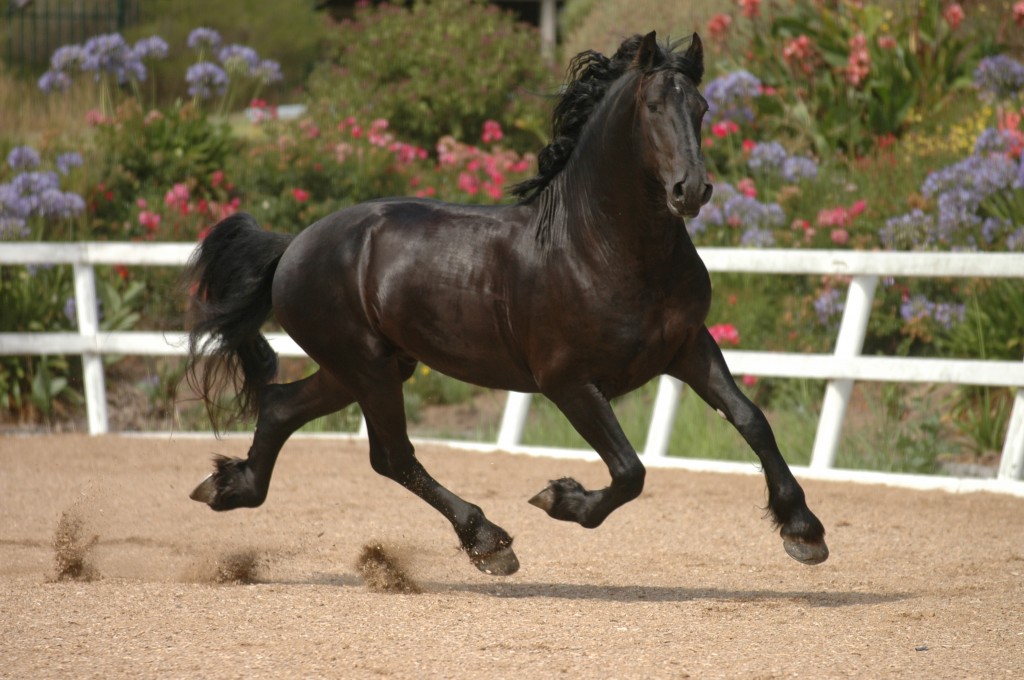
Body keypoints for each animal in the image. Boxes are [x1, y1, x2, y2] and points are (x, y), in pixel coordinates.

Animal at [184, 31, 827, 573]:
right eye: (651, 108)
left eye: (702, 108)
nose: (690, 191)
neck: (602, 248)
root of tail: (295, 244)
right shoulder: (567, 382)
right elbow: (630, 471)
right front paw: (561, 499)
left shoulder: (688, 347)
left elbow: (751, 419)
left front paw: (803, 530)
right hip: (365, 366)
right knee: (392, 455)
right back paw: (489, 541)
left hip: (368, 366)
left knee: (283, 408)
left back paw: (228, 488)